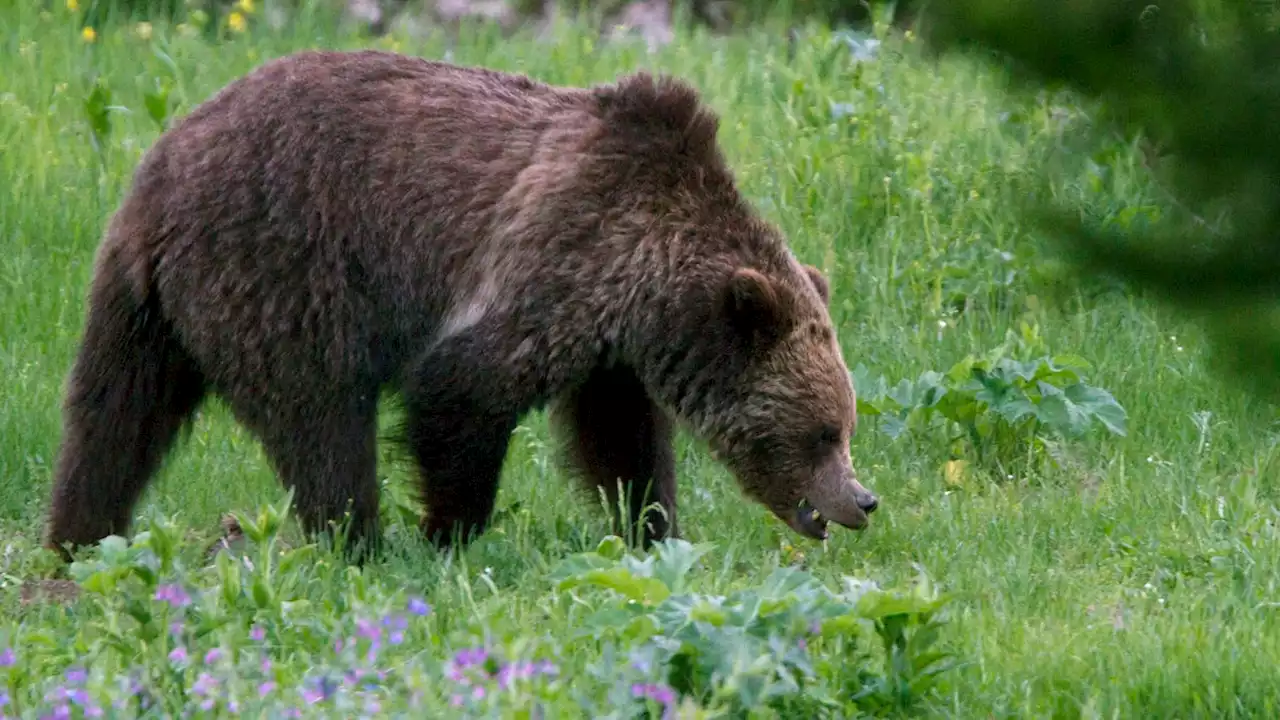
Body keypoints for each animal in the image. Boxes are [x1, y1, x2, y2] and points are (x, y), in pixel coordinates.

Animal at [42, 50, 880, 561]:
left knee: (113, 418)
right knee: (321, 420)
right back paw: (360, 542)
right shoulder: (556, 254)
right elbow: (462, 388)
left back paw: (78, 538)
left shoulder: (609, 345)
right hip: (281, 268)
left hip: (146, 308)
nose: (862, 500)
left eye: (844, 424)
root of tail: (160, 174)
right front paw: (451, 533)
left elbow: (620, 440)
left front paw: (652, 528)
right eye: (822, 431)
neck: (649, 282)